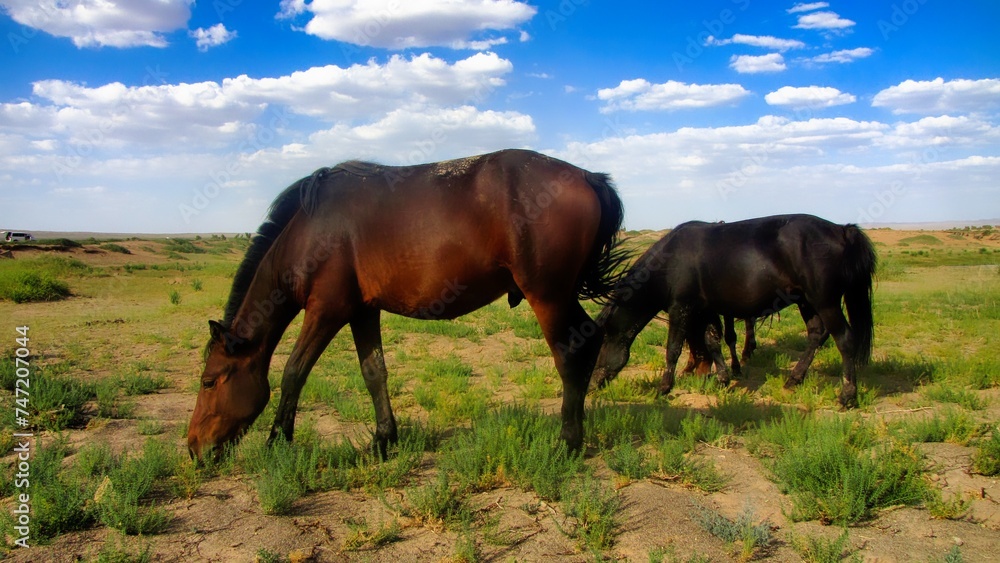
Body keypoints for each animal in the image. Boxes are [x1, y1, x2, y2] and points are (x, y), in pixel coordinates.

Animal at [188, 148, 624, 460]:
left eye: (209, 381)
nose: (194, 449)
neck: (309, 230)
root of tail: (588, 177)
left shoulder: (326, 310)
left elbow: (294, 373)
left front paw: (277, 441)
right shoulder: (362, 310)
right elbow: (373, 372)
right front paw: (384, 440)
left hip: (548, 296)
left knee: (571, 354)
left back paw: (567, 443)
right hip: (561, 295)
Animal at [592, 215, 876, 406]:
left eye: (602, 342)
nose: (593, 382)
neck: (669, 263)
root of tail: (842, 230)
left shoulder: (681, 308)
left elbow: (673, 349)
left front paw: (664, 388)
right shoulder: (704, 310)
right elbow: (713, 341)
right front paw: (723, 378)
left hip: (825, 302)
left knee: (845, 340)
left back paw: (847, 395)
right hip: (807, 302)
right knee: (816, 335)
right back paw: (793, 380)